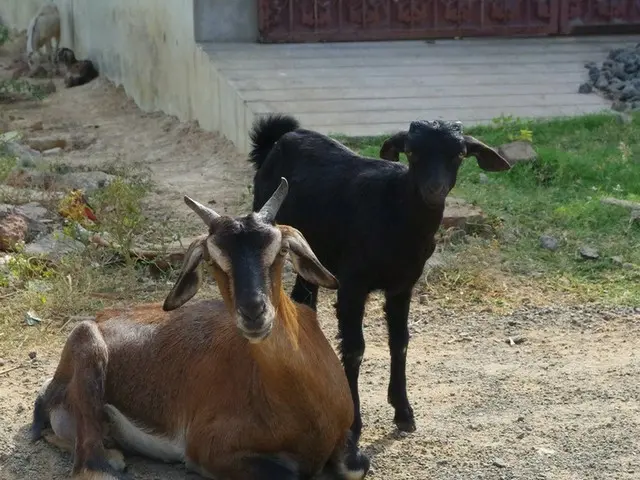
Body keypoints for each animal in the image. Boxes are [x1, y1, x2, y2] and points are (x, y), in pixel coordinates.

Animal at [31, 179, 370, 480]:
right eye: (212, 259)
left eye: (281, 251)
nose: (254, 314)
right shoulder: (209, 449)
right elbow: (289, 474)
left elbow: (356, 466)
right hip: (86, 340)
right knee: (90, 468)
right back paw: (111, 457)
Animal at [248, 114, 512, 444]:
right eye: (411, 152)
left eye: (460, 154)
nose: (434, 189)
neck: (395, 210)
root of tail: (279, 137)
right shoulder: (352, 283)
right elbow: (355, 349)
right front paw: (354, 425)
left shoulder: (403, 285)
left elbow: (400, 341)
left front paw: (404, 412)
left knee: (304, 298)